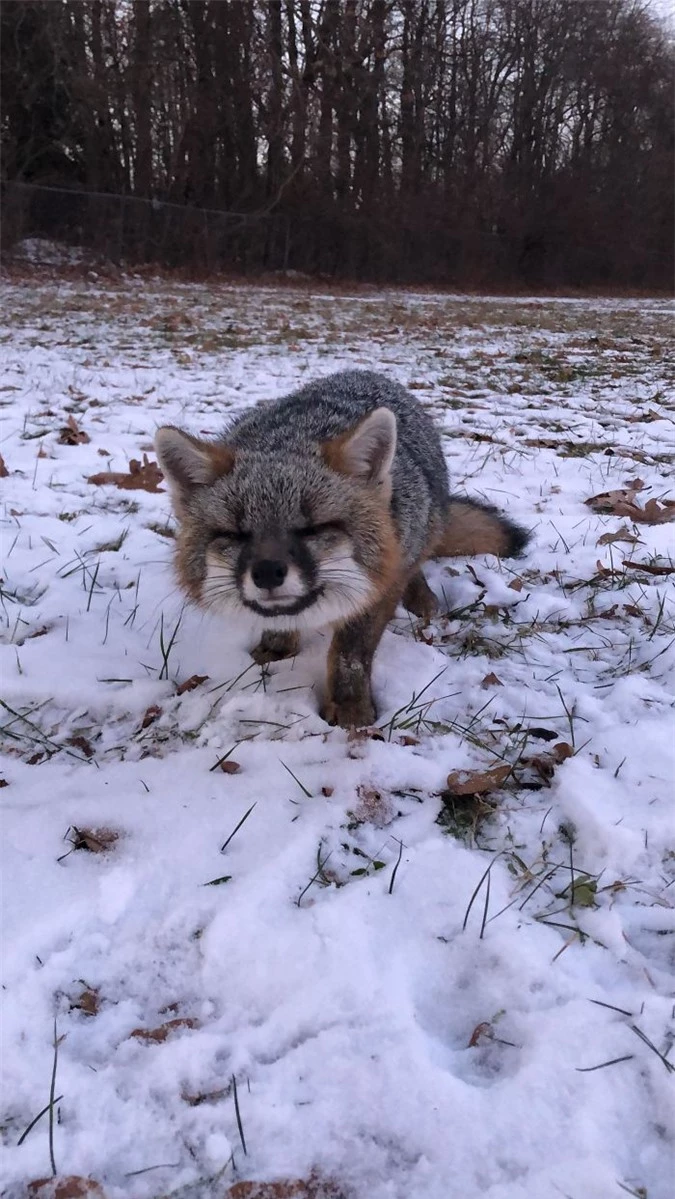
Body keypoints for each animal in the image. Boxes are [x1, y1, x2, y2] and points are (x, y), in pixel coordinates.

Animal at [155, 369, 529, 724]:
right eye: (235, 534)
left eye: (314, 528)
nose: (267, 573)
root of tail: (366, 373)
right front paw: (275, 652)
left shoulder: (377, 591)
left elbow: (350, 655)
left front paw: (351, 709)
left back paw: (422, 599)